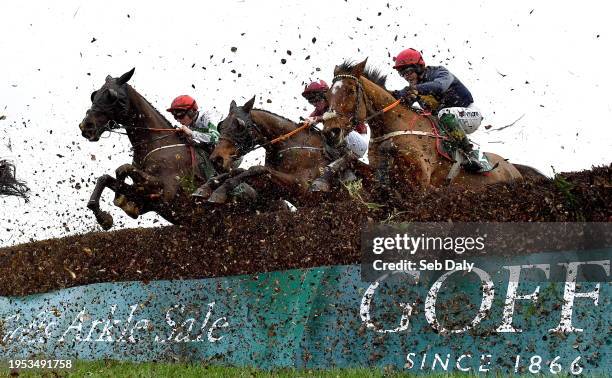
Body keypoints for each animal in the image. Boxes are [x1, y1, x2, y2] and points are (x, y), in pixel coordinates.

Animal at [79, 69, 213, 229]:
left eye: (111, 96)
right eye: (94, 95)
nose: (86, 126)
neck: (158, 144)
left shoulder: (166, 191)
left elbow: (122, 168)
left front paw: (119, 200)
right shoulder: (146, 200)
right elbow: (104, 178)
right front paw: (104, 217)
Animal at [202, 96, 330, 204]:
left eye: (240, 126)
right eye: (221, 125)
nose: (216, 159)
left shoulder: (303, 188)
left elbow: (257, 169)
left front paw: (220, 191)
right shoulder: (270, 192)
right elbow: (240, 171)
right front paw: (208, 185)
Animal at [322, 60, 524, 193]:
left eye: (350, 91)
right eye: (327, 95)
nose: (331, 132)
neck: (394, 125)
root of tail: (513, 168)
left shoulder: (420, 182)